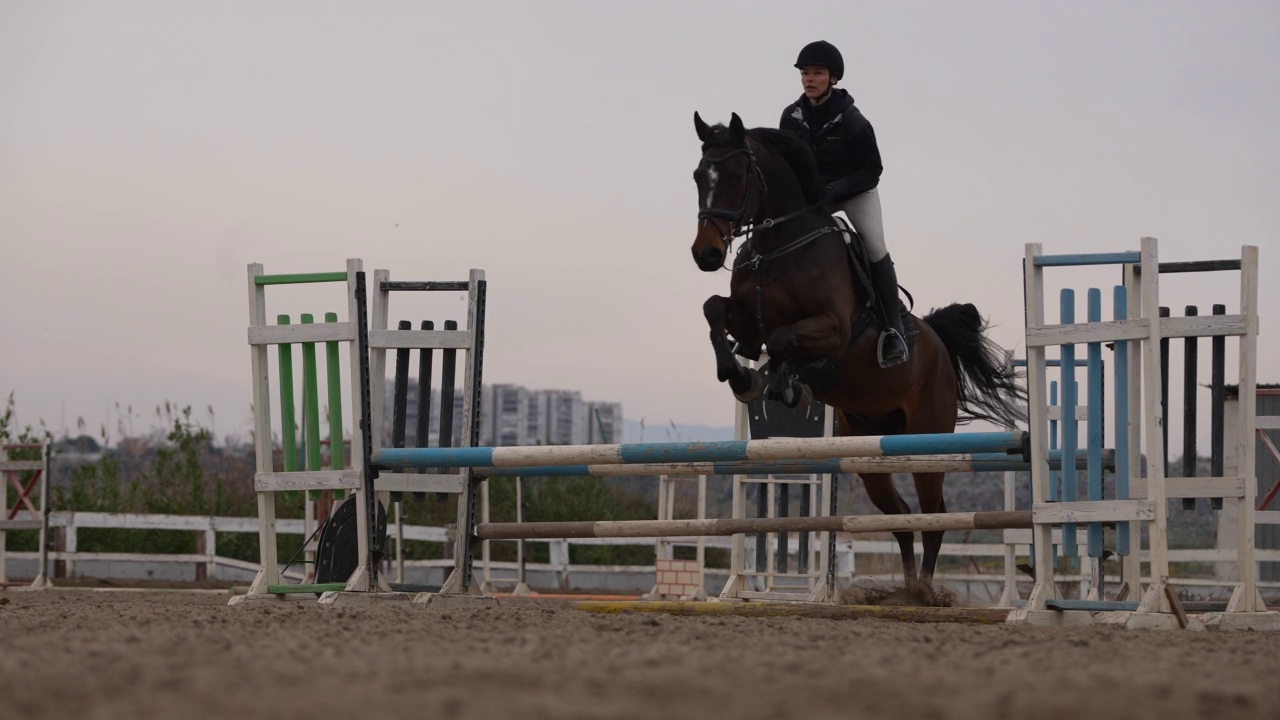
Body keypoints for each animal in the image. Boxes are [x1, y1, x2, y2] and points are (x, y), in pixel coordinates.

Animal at [691, 110, 1029, 584]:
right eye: (698, 176)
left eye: (739, 175)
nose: (705, 253)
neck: (779, 247)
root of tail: (939, 348)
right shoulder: (747, 319)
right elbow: (714, 311)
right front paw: (740, 376)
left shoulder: (832, 330)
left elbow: (781, 340)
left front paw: (782, 384)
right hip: (870, 448)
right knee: (901, 518)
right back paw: (906, 588)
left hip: (925, 442)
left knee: (933, 518)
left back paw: (923, 591)